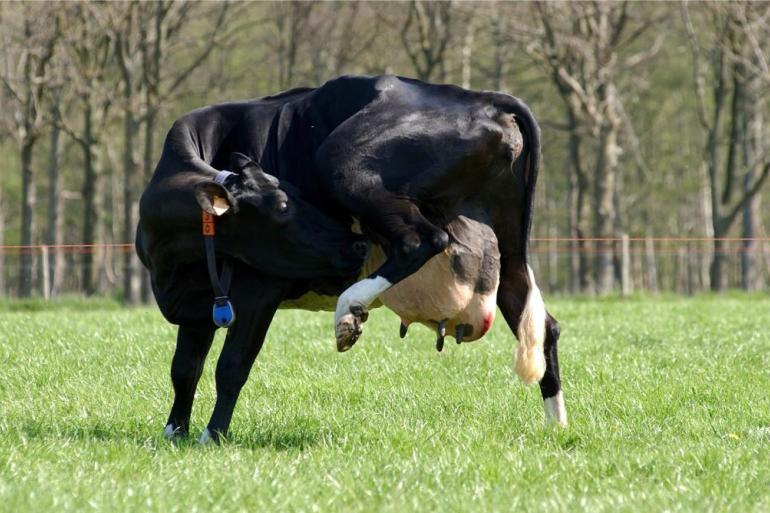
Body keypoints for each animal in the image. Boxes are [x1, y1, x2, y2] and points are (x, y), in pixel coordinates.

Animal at [135, 74, 560, 442]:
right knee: (540, 322)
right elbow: (184, 369)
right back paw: (557, 428)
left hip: (343, 160)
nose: (355, 246)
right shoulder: (198, 306)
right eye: (285, 205)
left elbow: (232, 365)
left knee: (421, 239)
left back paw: (350, 310)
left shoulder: (259, 289)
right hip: (509, 239)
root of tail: (480, 98)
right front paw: (174, 432)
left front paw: (213, 435)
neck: (175, 261)